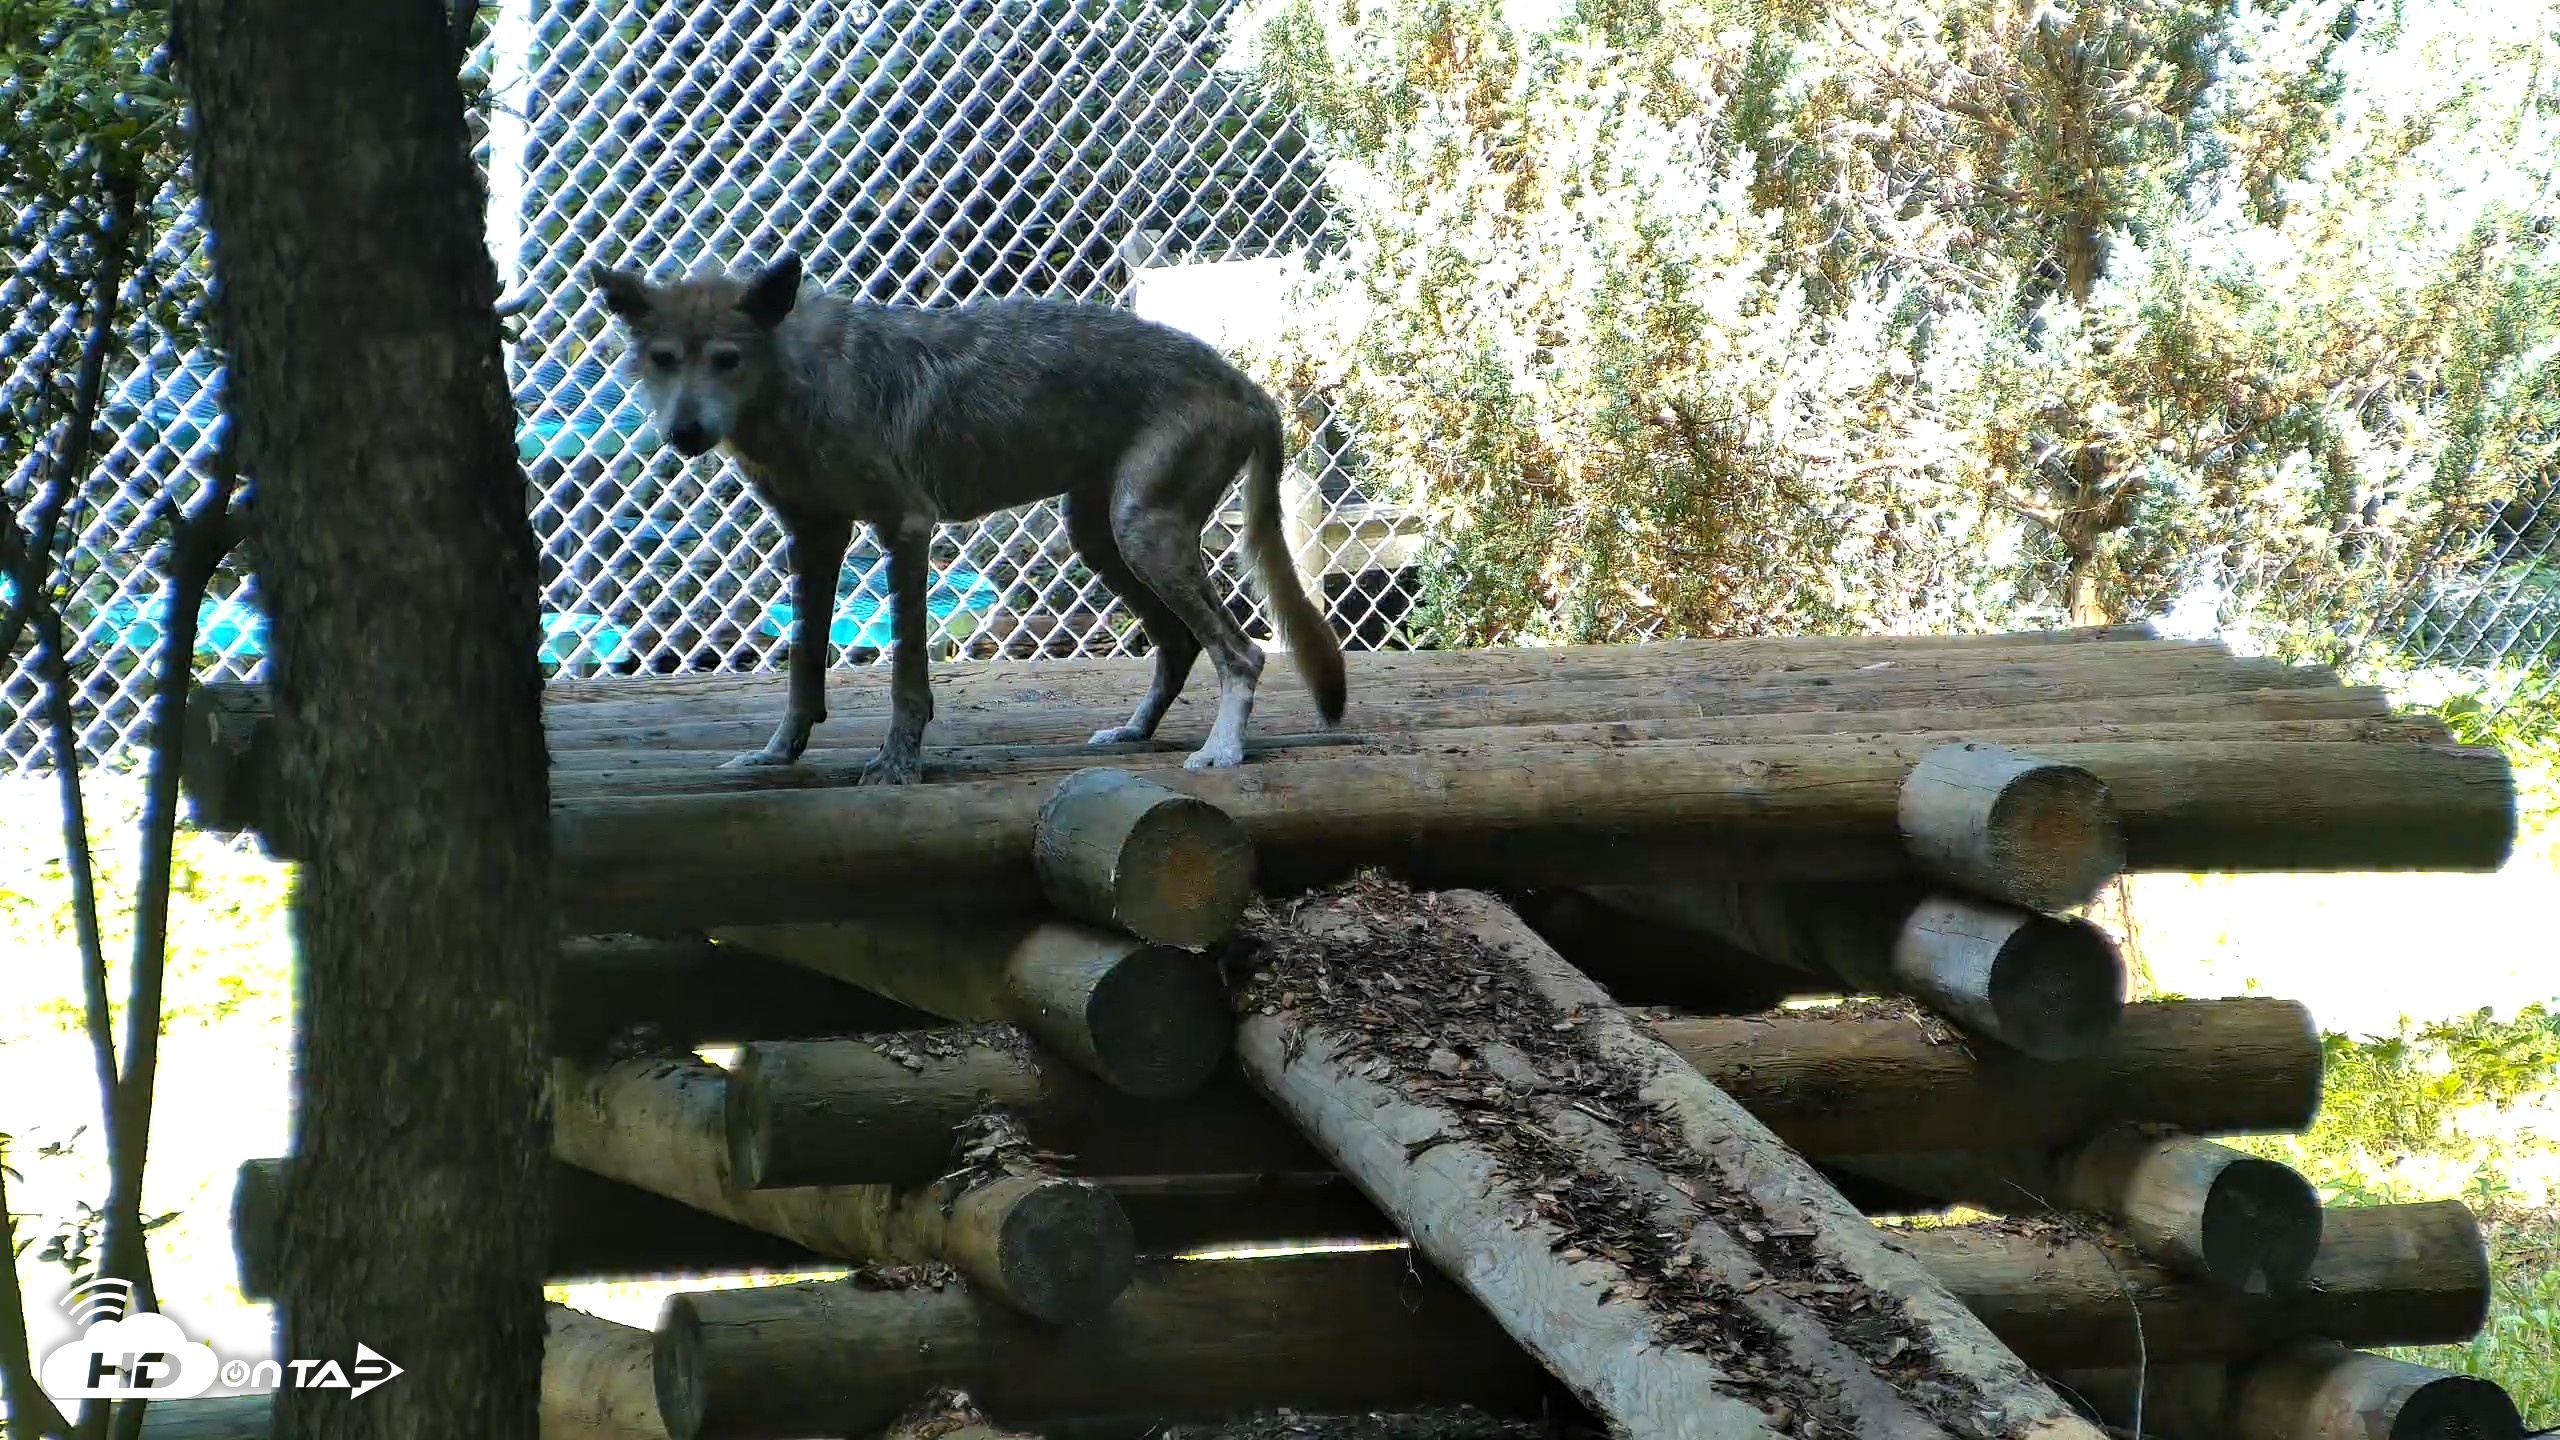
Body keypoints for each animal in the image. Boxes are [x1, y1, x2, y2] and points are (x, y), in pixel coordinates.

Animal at [588, 253, 1348, 785]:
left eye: (727, 359)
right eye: (663, 361)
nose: (684, 432)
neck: (800, 384)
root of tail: (1249, 387)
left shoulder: (905, 528)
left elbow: (906, 679)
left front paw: (897, 767)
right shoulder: (813, 538)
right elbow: (803, 669)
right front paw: (777, 755)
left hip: (1142, 535)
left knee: (1241, 652)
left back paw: (1222, 752)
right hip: (1100, 539)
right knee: (1181, 645)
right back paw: (1133, 735)